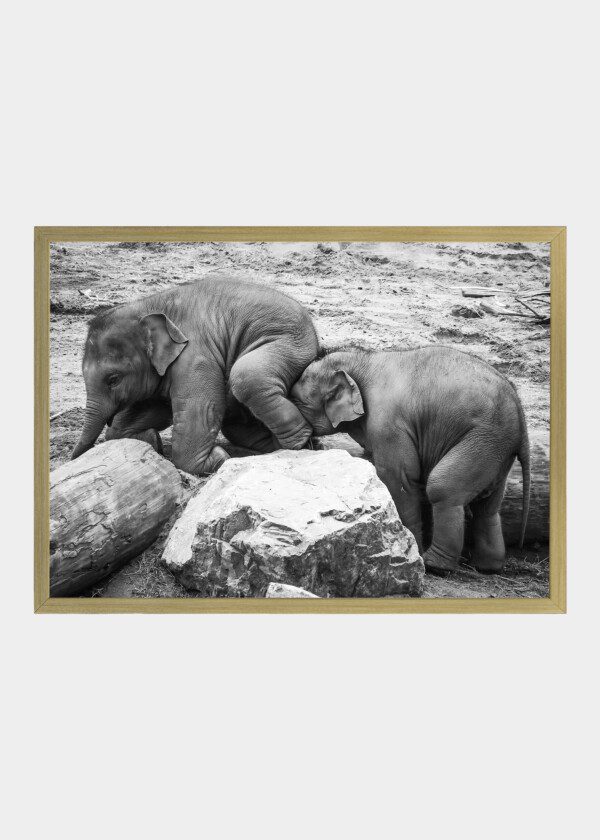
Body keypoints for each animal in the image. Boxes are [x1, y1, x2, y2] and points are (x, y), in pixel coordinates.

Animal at [71, 276, 320, 474]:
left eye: (113, 379)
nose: (73, 459)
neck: (148, 306)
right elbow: (140, 416)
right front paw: (152, 440)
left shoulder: (196, 356)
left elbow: (200, 407)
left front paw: (218, 458)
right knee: (235, 423)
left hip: (290, 344)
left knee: (248, 377)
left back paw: (299, 442)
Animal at [290, 345, 531, 574]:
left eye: (295, 400)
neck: (363, 361)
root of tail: (521, 417)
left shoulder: (388, 423)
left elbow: (398, 478)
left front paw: (411, 549)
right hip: (497, 452)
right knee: (488, 507)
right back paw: (487, 567)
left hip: (484, 440)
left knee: (442, 488)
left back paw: (434, 565)